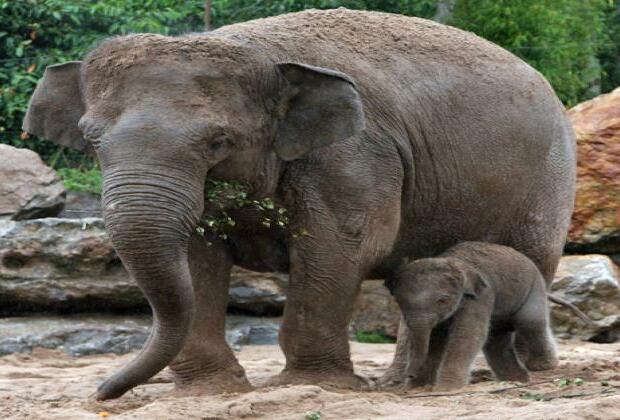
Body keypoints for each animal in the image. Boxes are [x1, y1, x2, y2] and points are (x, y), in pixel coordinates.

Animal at [388, 241, 556, 392]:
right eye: (399, 301)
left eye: (443, 300)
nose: (409, 375)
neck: (453, 261)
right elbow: (435, 339)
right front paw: (418, 387)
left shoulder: (480, 297)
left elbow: (468, 334)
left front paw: (446, 388)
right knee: (496, 339)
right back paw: (516, 380)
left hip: (534, 287)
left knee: (530, 323)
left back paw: (541, 366)